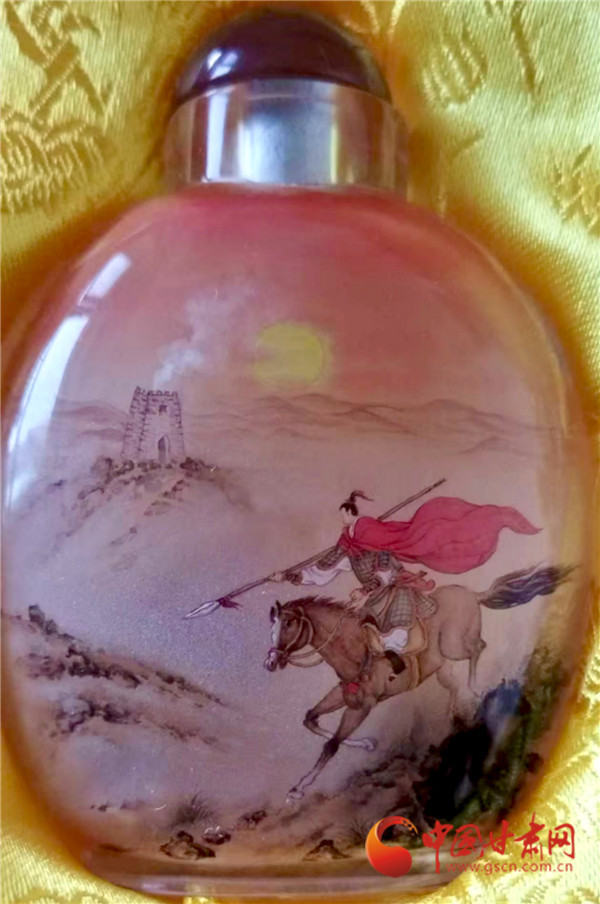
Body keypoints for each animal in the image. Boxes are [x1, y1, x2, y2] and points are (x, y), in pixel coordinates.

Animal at [263, 565, 572, 799]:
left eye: (288, 624)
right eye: (272, 626)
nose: (270, 663)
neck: (354, 649)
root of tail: (471, 593)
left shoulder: (362, 706)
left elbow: (332, 744)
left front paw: (299, 788)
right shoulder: (343, 695)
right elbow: (311, 719)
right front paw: (366, 744)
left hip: (454, 646)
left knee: (478, 648)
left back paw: (475, 691)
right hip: (441, 667)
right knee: (454, 684)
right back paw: (455, 715)